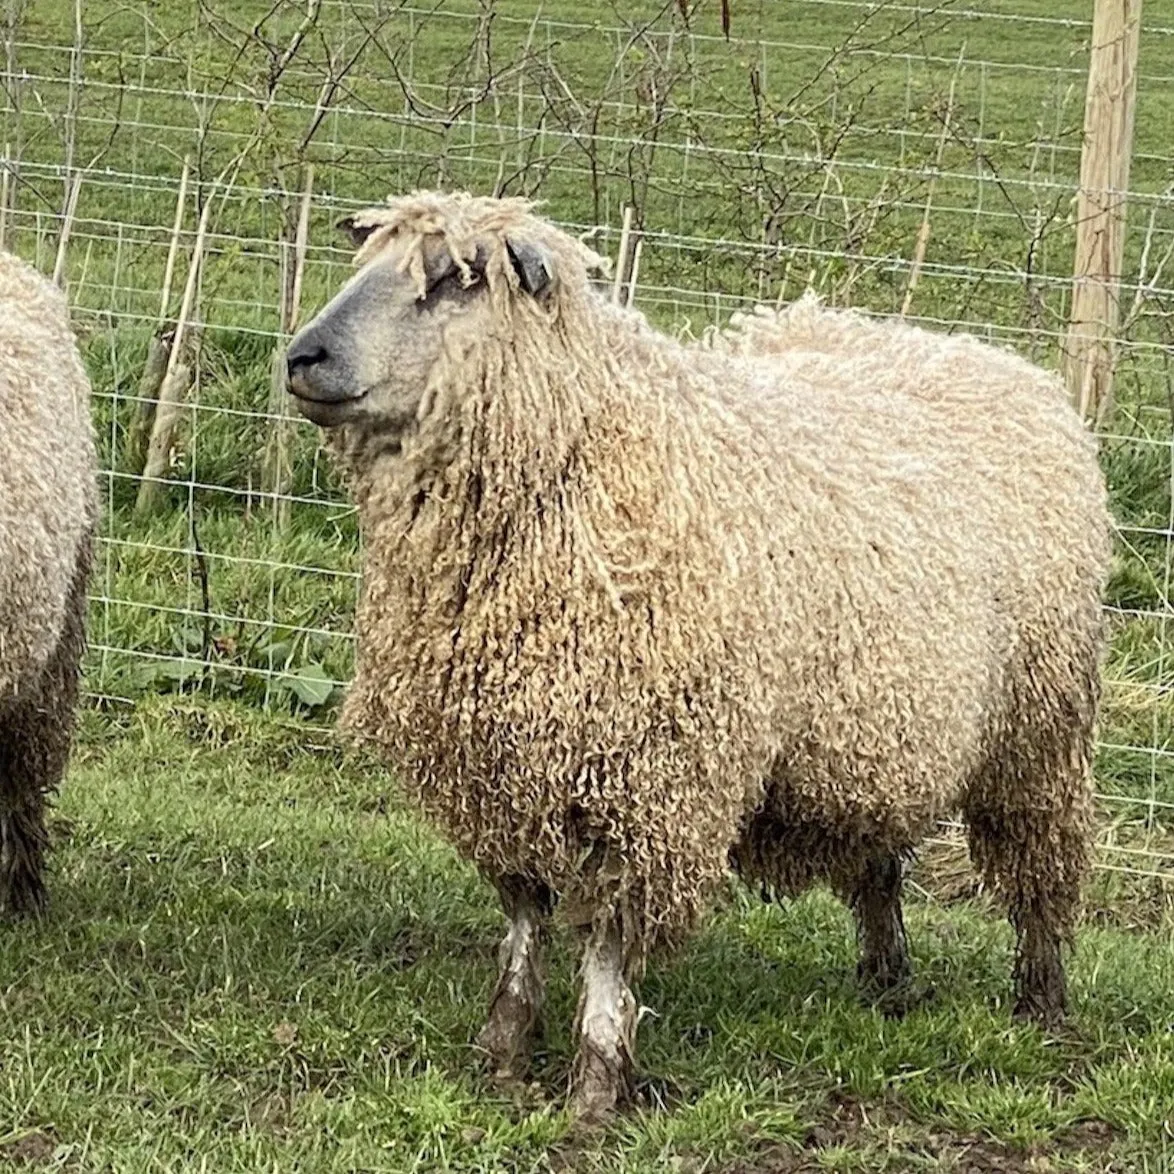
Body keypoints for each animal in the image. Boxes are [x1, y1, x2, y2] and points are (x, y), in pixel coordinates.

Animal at [284, 192, 1108, 1117]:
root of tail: (986, 357)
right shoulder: (504, 756)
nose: (302, 356)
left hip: (1037, 728)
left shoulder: (653, 777)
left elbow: (611, 937)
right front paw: (504, 1045)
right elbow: (525, 907)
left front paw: (595, 1082)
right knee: (877, 861)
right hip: (873, 726)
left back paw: (1041, 1002)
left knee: (1038, 869)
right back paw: (886, 980)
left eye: (455, 279)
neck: (585, 462)